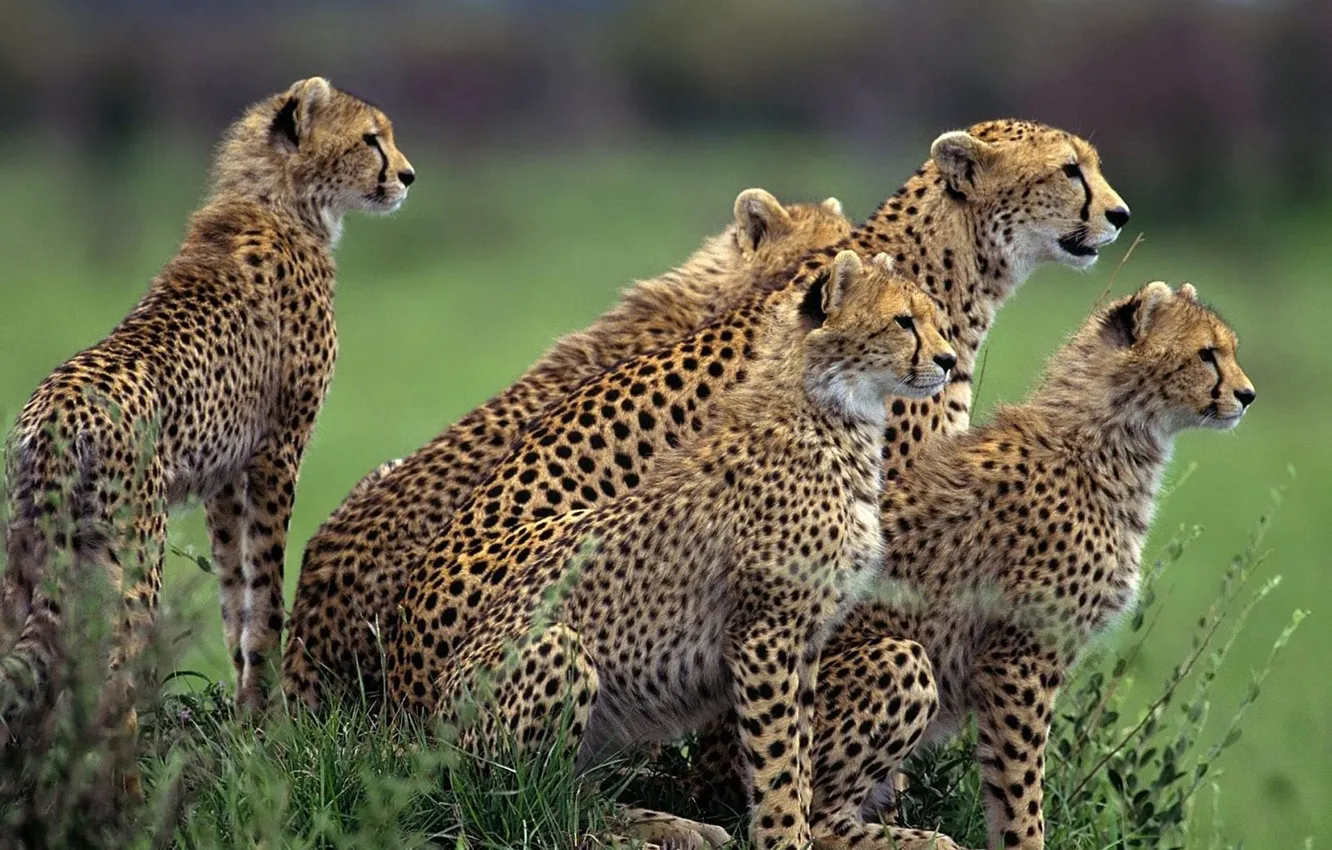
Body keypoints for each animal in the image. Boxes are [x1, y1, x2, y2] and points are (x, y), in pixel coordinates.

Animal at [0, 76, 414, 738]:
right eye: (371, 138)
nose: (407, 175)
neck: (280, 201)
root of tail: (58, 409)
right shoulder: (278, 450)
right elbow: (266, 587)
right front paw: (271, 717)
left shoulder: (225, 475)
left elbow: (233, 591)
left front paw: (247, 709)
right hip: (132, 551)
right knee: (115, 665)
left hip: (31, 551)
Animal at [387, 251, 957, 850]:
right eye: (903, 321)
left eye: (931, 316)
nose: (947, 360)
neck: (832, 414)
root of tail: (426, 735)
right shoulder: (766, 635)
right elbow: (778, 758)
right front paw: (783, 838)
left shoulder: (803, 642)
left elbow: (798, 756)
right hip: (557, 654)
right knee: (526, 805)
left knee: (575, 794)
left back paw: (676, 825)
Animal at [789, 280, 1255, 850]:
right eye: (1207, 354)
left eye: (1228, 350)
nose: (1248, 394)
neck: (1108, 437)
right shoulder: (1019, 660)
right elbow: (1021, 785)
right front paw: (1027, 839)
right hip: (898, 659)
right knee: (816, 816)